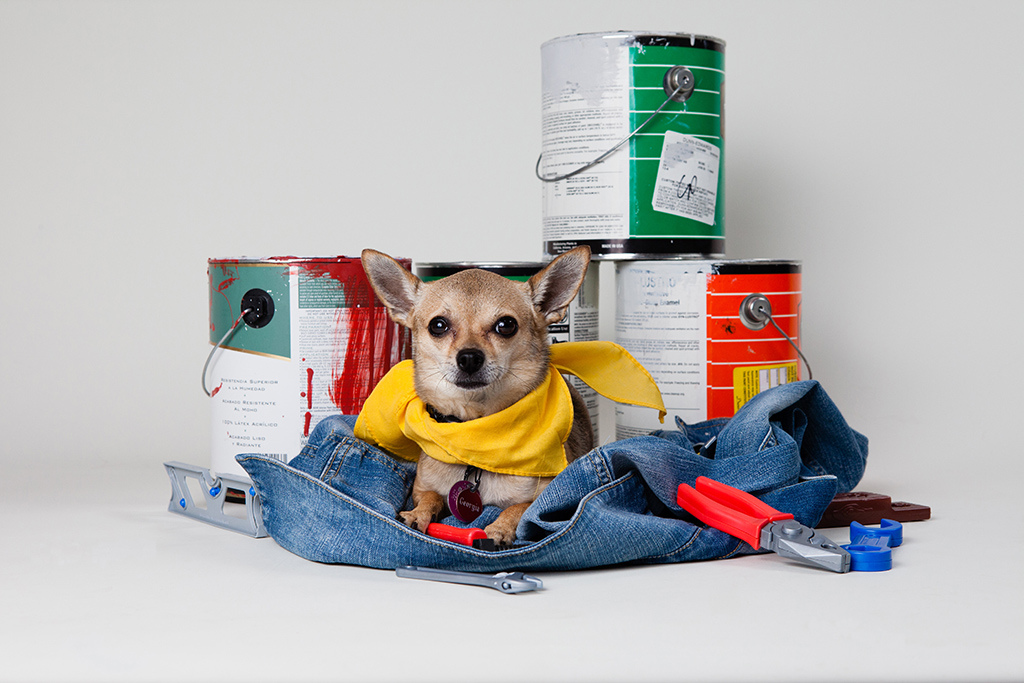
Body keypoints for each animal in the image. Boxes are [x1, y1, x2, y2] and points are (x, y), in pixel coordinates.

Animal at [357, 246, 594, 547]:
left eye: (506, 325)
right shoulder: (421, 488)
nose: (469, 357)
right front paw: (417, 514)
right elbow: (431, 497)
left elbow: (519, 508)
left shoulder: (546, 497)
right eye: (438, 325)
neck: (474, 433)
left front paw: (499, 529)